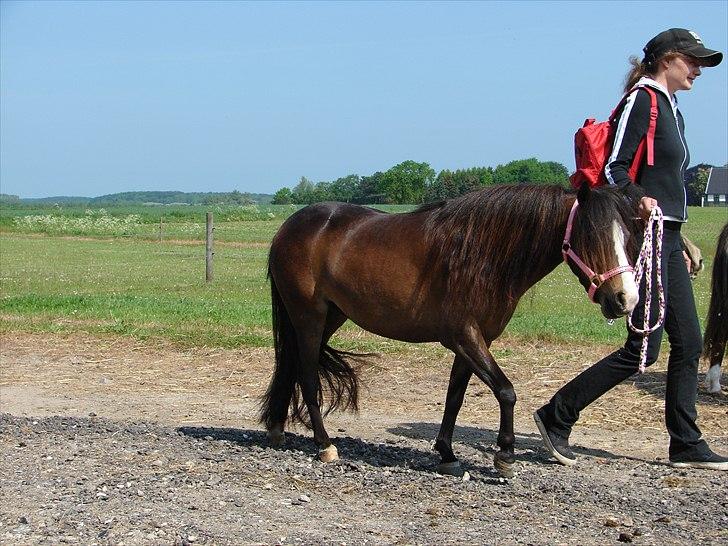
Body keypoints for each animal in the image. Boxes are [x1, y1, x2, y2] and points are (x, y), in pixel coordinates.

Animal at [258, 181, 640, 474]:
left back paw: (277, 429)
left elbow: (455, 397)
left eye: (629, 236)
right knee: (307, 374)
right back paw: (324, 444)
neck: (483, 255)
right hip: (308, 316)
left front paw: (447, 454)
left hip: (331, 317)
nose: (626, 299)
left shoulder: (474, 341)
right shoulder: (463, 336)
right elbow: (506, 391)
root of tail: (288, 227)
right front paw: (505, 456)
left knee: (292, 367)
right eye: (591, 236)